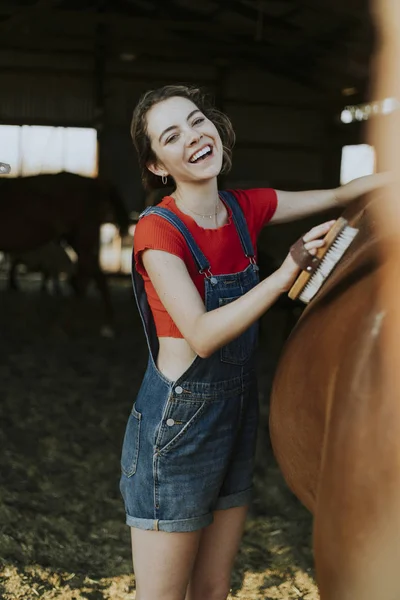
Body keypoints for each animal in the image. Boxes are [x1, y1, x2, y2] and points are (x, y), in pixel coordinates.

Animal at [0, 171, 130, 336]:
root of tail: (96, 183)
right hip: (77, 240)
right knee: (97, 276)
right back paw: (107, 326)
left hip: (83, 238)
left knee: (84, 279)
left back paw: (64, 326)